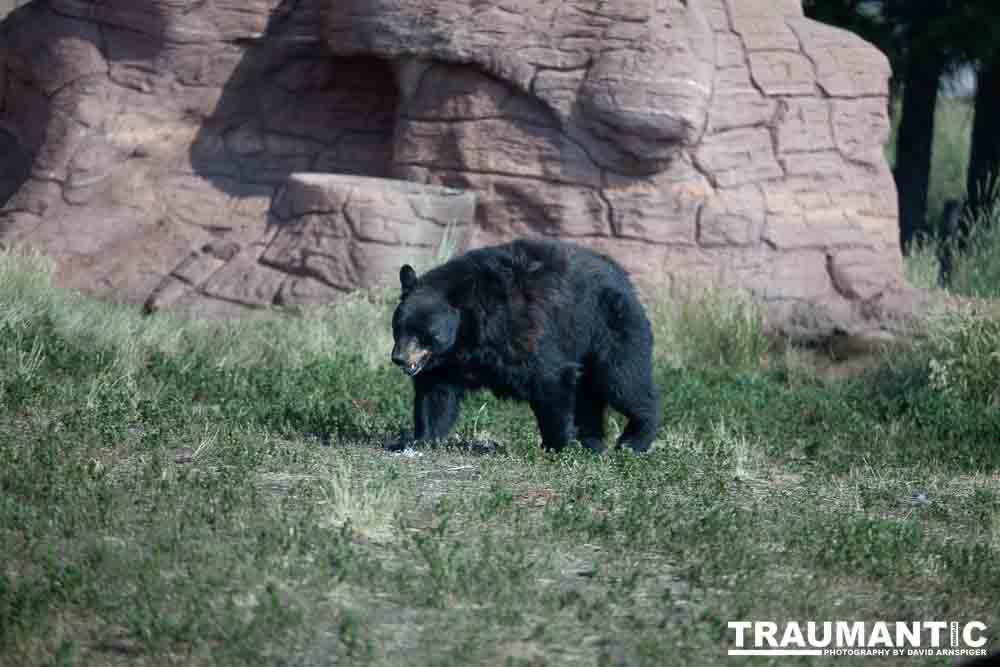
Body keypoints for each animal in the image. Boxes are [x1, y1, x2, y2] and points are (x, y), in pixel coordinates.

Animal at [388, 240, 656, 454]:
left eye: (424, 333)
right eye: (398, 326)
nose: (399, 358)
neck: (469, 330)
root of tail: (623, 277)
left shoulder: (522, 330)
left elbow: (550, 378)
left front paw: (556, 445)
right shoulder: (447, 360)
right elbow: (436, 394)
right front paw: (419, 440)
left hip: (610, 326)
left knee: (623, 380)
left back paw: (633, 441)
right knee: (589, 395)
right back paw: (592, 443)